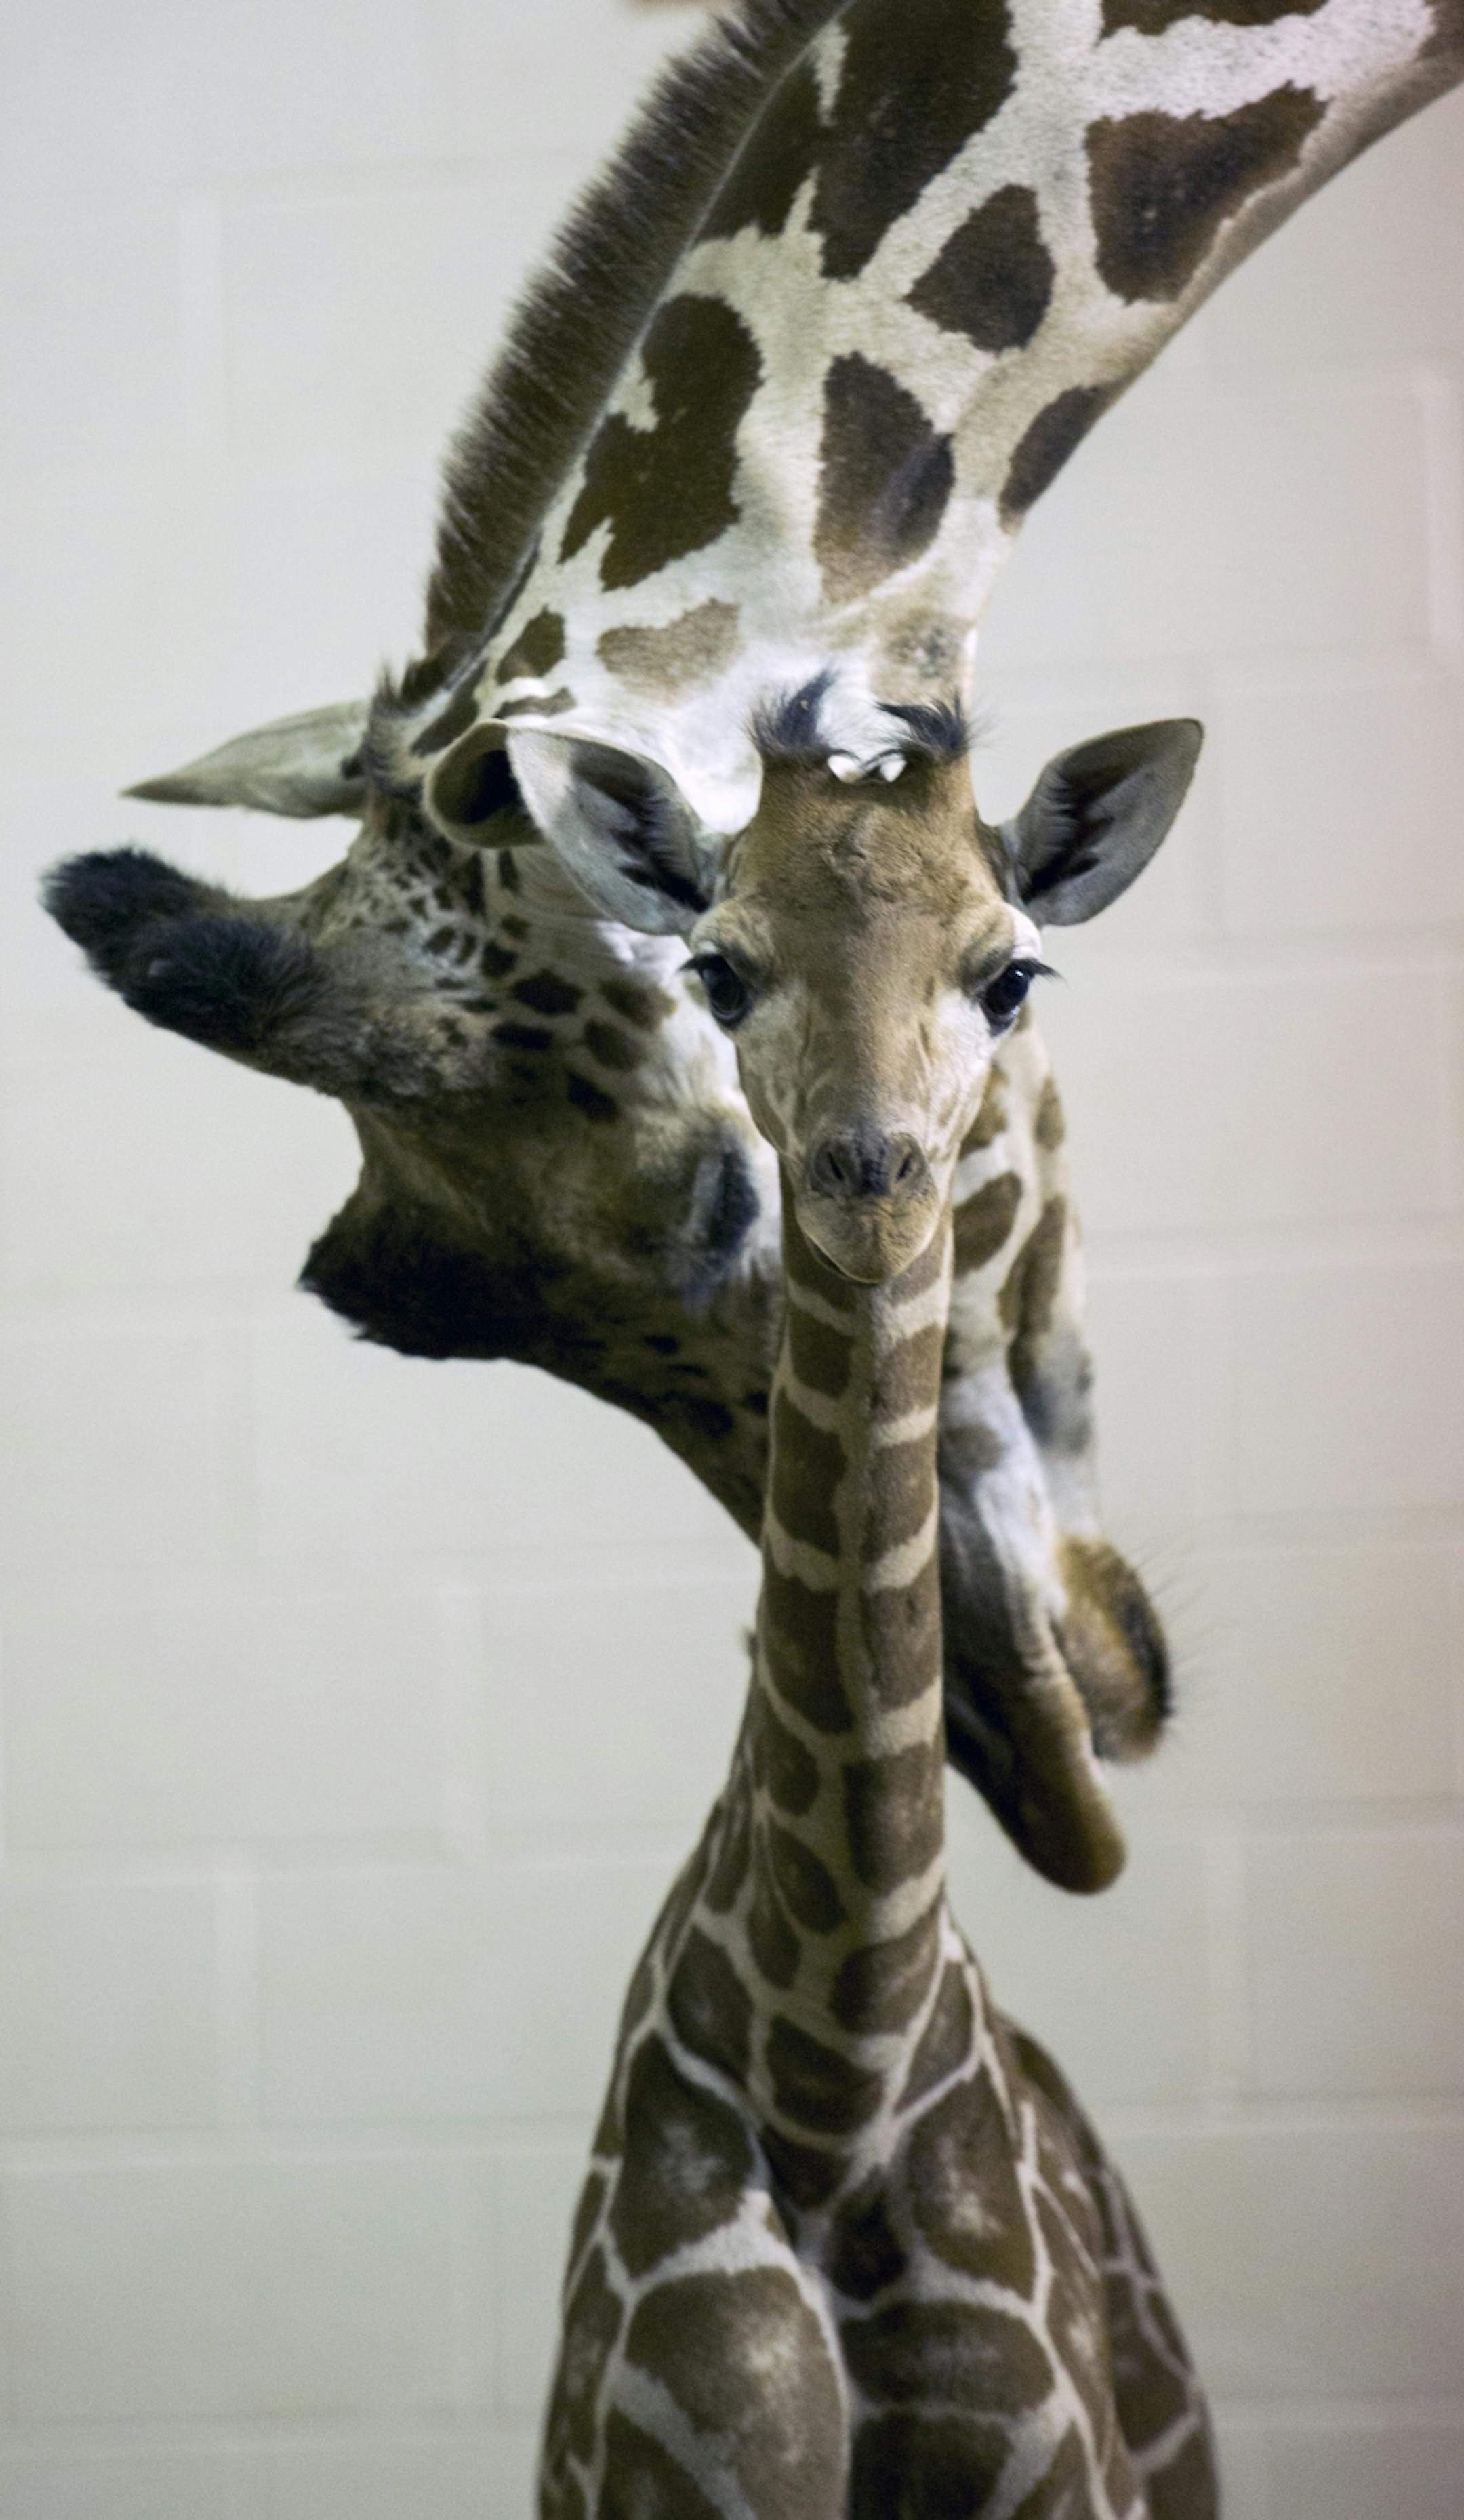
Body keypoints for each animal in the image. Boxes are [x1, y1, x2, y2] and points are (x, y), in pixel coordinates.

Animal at [538, 692, 1212, 2519]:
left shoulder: (1062, 2487)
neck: (832, 2066)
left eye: (1011, 971)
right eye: (718, 968)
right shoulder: (660, 2478)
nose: (872, 1174)